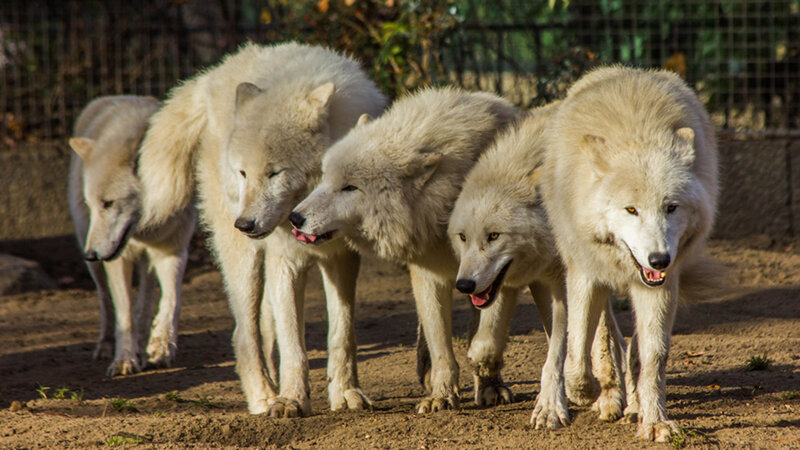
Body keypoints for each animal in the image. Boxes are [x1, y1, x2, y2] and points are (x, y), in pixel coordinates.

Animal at [68, 95, 196, 376]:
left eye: (108, 203)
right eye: (93, 205)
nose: (91, 255)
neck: (144, 229)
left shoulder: (172, 249)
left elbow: (171, 300)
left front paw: (161, 346)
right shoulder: (117, 259)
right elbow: (123, 313)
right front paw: (124, 359)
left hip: (146, 262)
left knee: (145, 303)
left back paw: (143, 344)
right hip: (93, 260)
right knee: (106, 303)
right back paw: (106, 347)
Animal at [136, 42, 386, 416]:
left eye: (274, 173)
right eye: (243, 173)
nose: (245, 224)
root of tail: (213, 75)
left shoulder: (340, 259)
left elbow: (342, 335)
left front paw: (345, 393)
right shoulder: (285, 261)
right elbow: (294, 346)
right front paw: (292, 400)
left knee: (266, 330)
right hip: (246, 260)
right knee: (244, 333)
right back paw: (263, 397)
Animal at [290, 87, 519, 413]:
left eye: (350, 188)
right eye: (324, 178)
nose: (295, 218)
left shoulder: (500, 269)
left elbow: (488, 333)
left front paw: (489, 383)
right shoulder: (428, 273)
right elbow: (440, 346)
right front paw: (441, 396)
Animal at [447, 103, 626, 429]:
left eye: (494, 236)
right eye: (463, 237)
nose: (463, 285)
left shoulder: (562, 285)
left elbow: (558, 353)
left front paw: (550, 407)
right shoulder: (513, 282)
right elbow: (484, 343)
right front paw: (487, 371)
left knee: (605, 337)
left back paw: (610, 398)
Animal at [543, 66, 719, 441]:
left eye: (671, 207)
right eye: (631, 210)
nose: (658, 260)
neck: (637, 131)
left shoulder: (662, 285)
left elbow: (652, 357)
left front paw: (653, 420)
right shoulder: (584, 273)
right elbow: (577, 348)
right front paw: (584, 391)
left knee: (632, 349)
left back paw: (633, 404)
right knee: (602, 334)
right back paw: (607, 396)